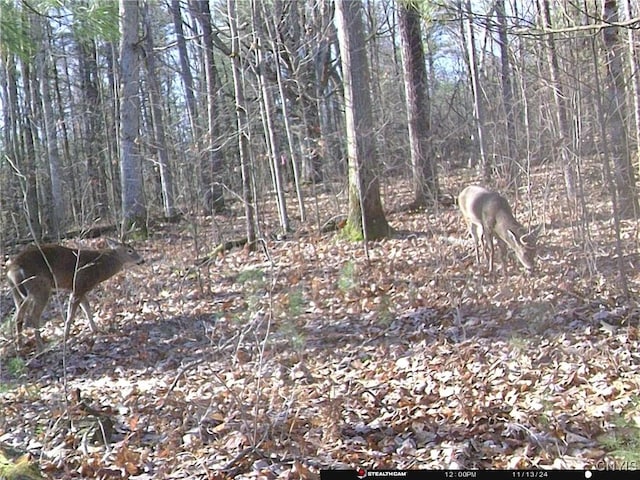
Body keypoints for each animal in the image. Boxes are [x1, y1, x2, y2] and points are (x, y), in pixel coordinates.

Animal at [6, 240, 144, 348]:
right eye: (130, 250)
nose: (142, 260)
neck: (99, 267)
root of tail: (13, 268)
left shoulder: (79, 288)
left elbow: (87, 308)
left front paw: (96, 329)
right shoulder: (79, 286)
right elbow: (71, 316)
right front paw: (65, 337)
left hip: (18, 293)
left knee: (18, 316)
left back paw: (20, 345)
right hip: (41, 286)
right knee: (33, 315)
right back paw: (41, 346)